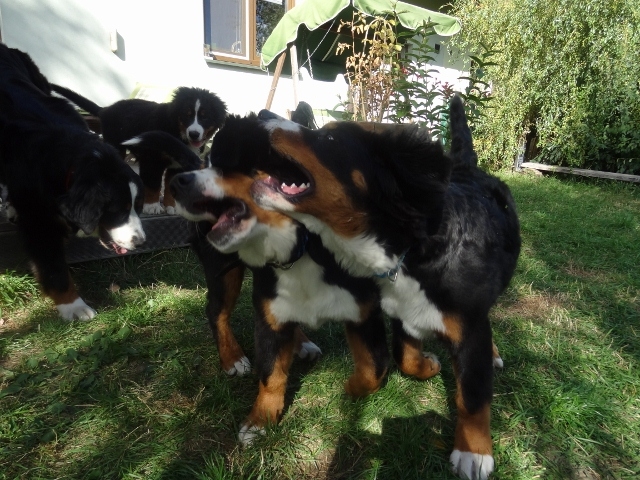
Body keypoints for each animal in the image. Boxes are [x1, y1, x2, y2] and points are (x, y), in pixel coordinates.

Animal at [0, 43, 146, 320]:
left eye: (137, 207)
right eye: (118, 211)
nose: (140, 242)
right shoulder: (38, 220)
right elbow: (54, 268)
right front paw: (74, 306)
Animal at [52, 84, 227, 215]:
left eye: (205, 117)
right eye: (187, 115)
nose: (194, 134)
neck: (177, 132)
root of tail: (106, 109)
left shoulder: (177, 165)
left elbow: (171, 186)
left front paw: (171, 206)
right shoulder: (152, 160)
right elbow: (153, 184)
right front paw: (152, 206)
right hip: (116, 147)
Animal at [250, 96, 521, 479]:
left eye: (328, 139)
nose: (262, 116)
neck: (411, 249)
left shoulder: (470, 330)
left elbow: (472, 396)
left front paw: (474, 452)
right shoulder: (402, 313)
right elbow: (403, 358)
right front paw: (424, 366)